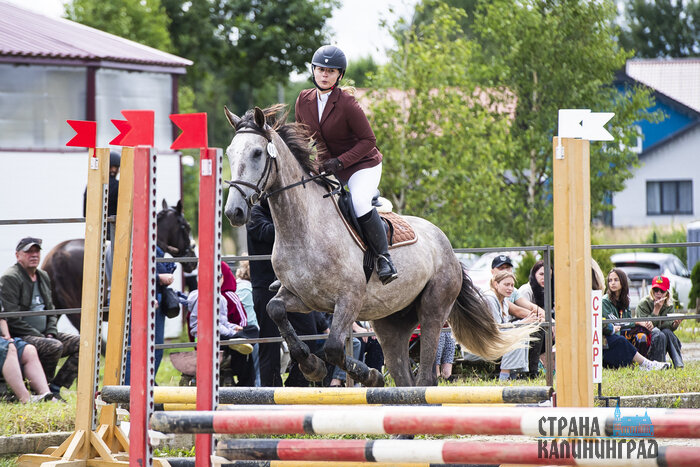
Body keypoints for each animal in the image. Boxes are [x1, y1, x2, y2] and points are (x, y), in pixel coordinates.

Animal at [223, 105, 534, 387]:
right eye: (228, 153)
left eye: (257, 153)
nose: (233, 212)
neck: (302, 228)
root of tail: (446, 245)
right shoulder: (304, 298)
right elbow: (276, 310)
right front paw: (312, 366)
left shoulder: (349, 299)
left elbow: (333, 347)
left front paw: (367, 374)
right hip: (390, 323)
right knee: (404, 377)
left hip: (433, 310)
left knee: (425, 377)